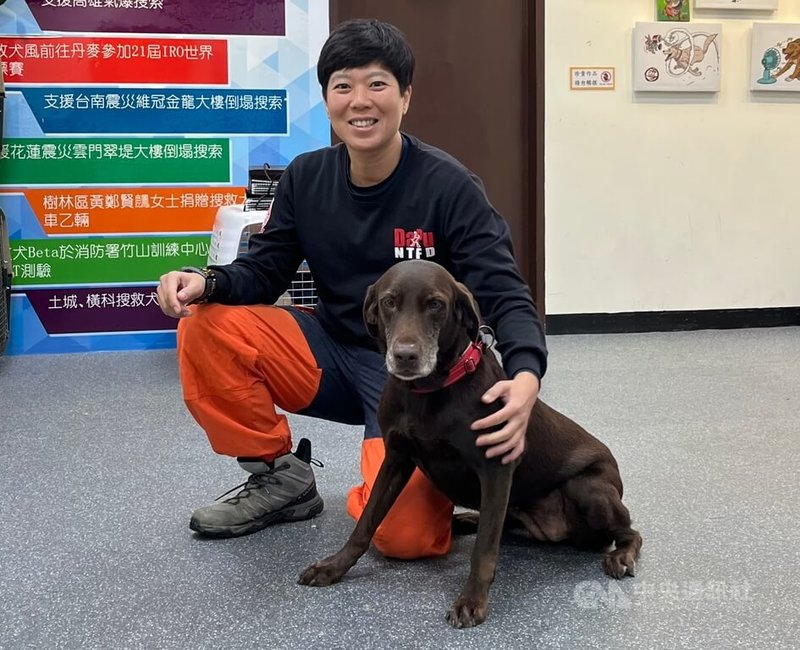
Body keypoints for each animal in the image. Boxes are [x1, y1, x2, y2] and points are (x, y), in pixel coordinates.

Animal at [300, 260, 644, 624]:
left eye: (435, 304)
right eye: (389, 302)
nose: (405, 356)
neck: (428, 391)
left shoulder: (496, 467)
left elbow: (484, 550)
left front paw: (472, 599)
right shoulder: (395, 459)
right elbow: (365, 524)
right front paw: (333, 567)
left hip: (589, 490)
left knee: (629, 532)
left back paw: (621, 556)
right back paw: (464, 520)